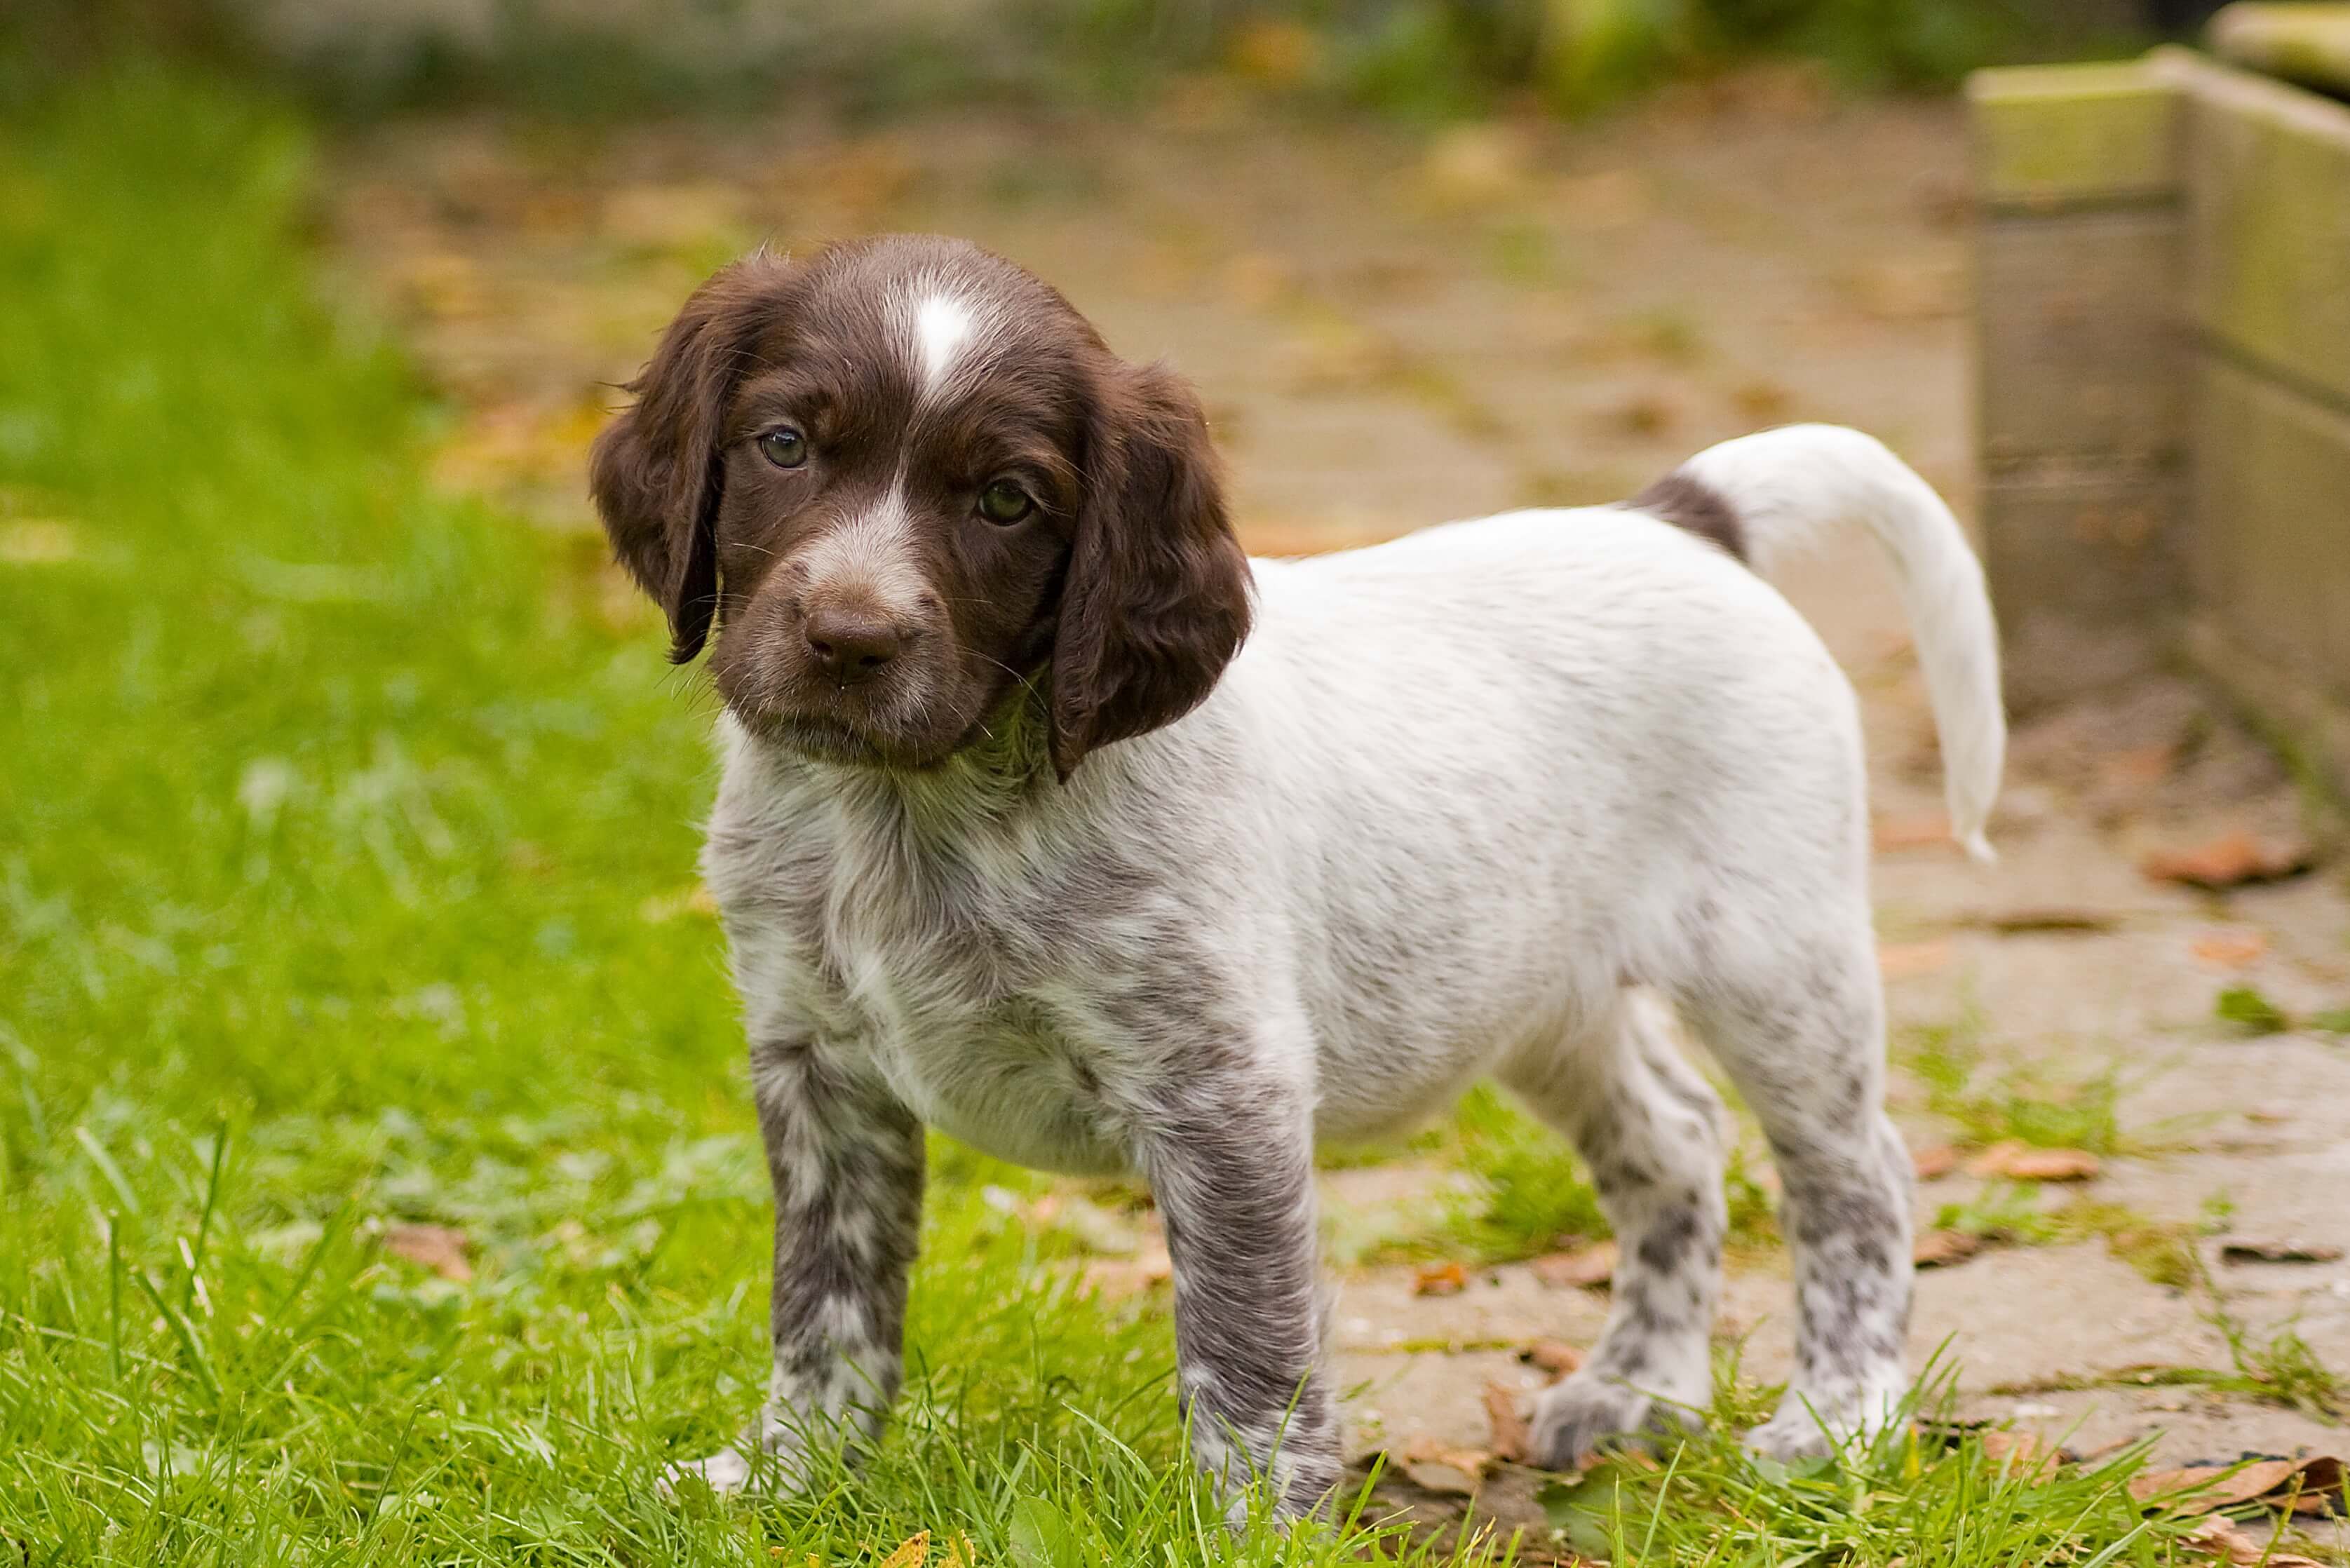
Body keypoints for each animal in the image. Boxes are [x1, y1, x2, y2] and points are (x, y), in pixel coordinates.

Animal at [592, 230, 2002, 1523]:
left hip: (1776, 960)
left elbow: (1247, 1345)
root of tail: (1676, 520)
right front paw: (785, 1480)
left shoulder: (1223, 1091)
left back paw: (1834, 1418)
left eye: (1004, 501)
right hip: (1536, 990)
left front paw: (1252, 1524)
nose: (849, 638)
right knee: (1673, 1141)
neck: (912, 810)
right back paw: (1637, 1393)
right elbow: (826, 1305)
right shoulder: (817, 1065)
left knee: (1854, 1177)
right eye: (784, 444)